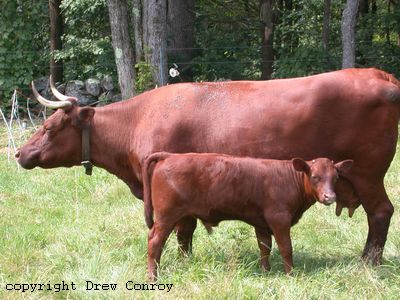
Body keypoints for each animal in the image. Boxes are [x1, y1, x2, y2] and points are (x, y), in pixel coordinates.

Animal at [14, 67, 400, 264]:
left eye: (49, 128)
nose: (18, 153)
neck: (139, 119)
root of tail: (379, 75)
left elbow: (182, 230)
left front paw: (183, 262)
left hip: (367, 173)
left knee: (381, 212)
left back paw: (368, 261)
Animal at [142, 152, 352, 282]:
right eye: (315, 177)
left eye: (335, 178)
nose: (330, 197)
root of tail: (171, 156)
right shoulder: (279, 219)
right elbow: (286, 248)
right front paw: (290, 273)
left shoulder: (262, 223)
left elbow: (265, 247)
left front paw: (266, 271)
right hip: (166, 216)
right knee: (155, 241)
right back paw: (153, 276)